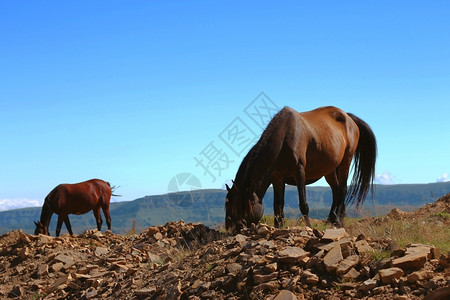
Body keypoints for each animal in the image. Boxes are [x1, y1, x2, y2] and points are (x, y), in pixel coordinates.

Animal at [225, 106, 376, 232]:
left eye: (243, 208)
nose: (235, 229)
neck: (283, 139)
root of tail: (349, 118)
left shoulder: (299, 172)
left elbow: (303, 204)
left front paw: (308, 227)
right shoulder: (277, 178)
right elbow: (278, 205)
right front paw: (278, 227)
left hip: (346, 160)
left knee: (343, 189)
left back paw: (337, 221)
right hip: (331, 169)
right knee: (337, 190)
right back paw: (331, 220)